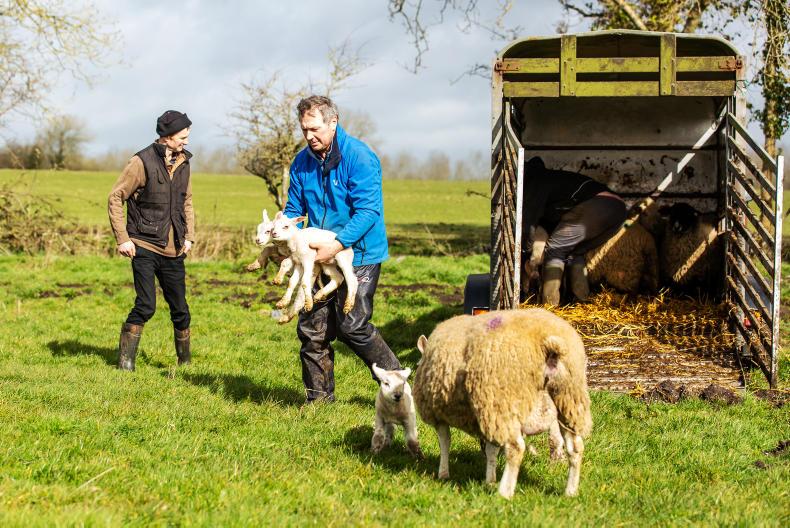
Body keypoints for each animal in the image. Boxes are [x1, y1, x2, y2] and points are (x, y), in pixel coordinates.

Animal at [413, 309, 592, 498]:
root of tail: (550, 343)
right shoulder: (487, 417)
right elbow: (491, 450)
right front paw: (489, 480)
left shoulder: (438, 414)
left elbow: (445, 442)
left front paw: (443, 473)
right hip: (569, 401)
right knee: (576, 447)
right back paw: (570, 491)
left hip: (503, 400)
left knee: (516, 448)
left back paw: (505, 492)